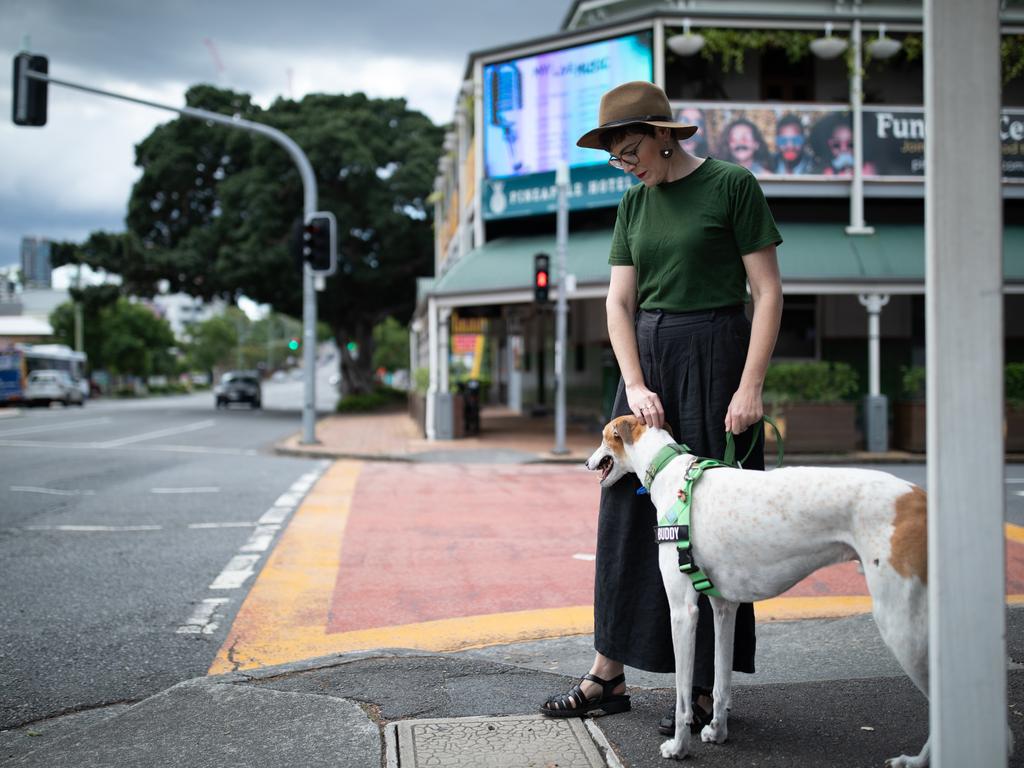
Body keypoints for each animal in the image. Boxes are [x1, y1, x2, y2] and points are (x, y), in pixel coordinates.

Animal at [585, 417, 929, 765]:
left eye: (603, 437)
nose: (586, 463)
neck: (671, 472)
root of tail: (917, 496)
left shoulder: (683, 611)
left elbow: (682, 695)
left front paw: (679, 747)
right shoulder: (724, 606)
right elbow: (721, 681)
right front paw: (717, 731)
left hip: (900, 626)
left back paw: (915, 760)